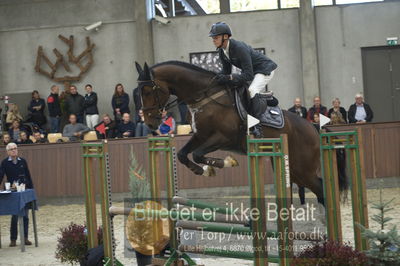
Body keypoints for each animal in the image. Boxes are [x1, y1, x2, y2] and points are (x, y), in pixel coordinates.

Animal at [135, 60, 346, 206]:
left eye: (148, 91)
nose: (150, 123)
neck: (204, 97)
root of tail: (313, 127)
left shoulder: (223, 138)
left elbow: (198, 154)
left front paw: (223, 164)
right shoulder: (200, 136)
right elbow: (182, 154)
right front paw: (201, 170)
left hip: (303, 169)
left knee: (321, 189)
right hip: (293, 168)